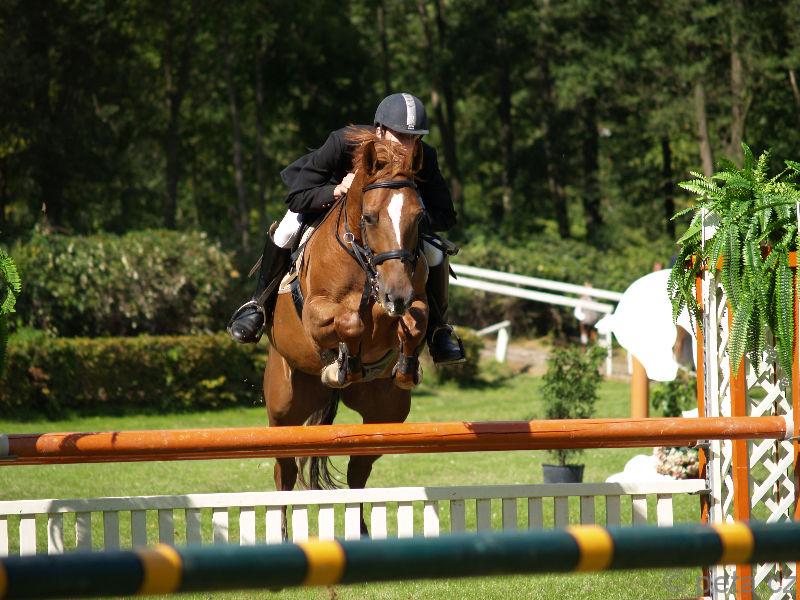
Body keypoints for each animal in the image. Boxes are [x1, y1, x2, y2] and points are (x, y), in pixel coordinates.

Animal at [264, 129, 429, 534]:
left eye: (419, 218)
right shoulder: (317, 313)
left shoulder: (411, 298)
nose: (396, 295)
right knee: (284, 472)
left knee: (359, 470)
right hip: (284, 409)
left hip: (384, 414)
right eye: (369, 217)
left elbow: (415, 320)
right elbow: (350, 320)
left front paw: (405, 365)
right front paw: (342, 361)